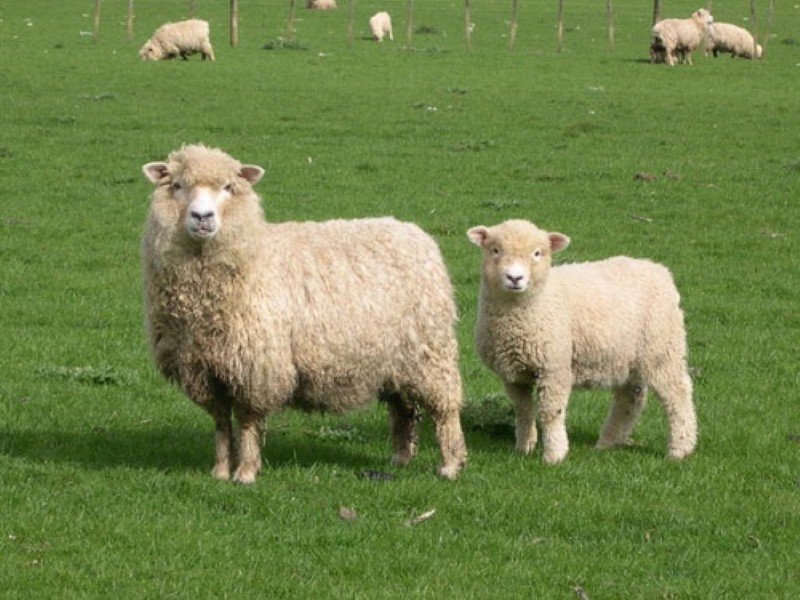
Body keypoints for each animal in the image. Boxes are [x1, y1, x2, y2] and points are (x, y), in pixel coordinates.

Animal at [142, 144, 468, 482]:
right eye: (177, 185)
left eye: (228, 187)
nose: (202, 217)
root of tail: (416, 234)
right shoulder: (202, 368)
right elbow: (220, 423)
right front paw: (219, 471)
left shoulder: (257, 367)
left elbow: (246, 422)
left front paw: (245, 472)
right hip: (395, 359)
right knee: (403, 407)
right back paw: (400, 458)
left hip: (430, 352)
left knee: (445, 407)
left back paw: (450, 463)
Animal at [466, 220, 696, 464]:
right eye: (495, 250)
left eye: (537, 253)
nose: (514, 278)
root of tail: (658, 269)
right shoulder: (513, 374)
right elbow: (523, 410)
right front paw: (523, 447)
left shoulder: (554, 367)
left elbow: (550, 413)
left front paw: (554, 455)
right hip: (627, 354)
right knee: (630, 397)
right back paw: (608, 442)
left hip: (661, 348)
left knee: (677, 393)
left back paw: (680, 448)